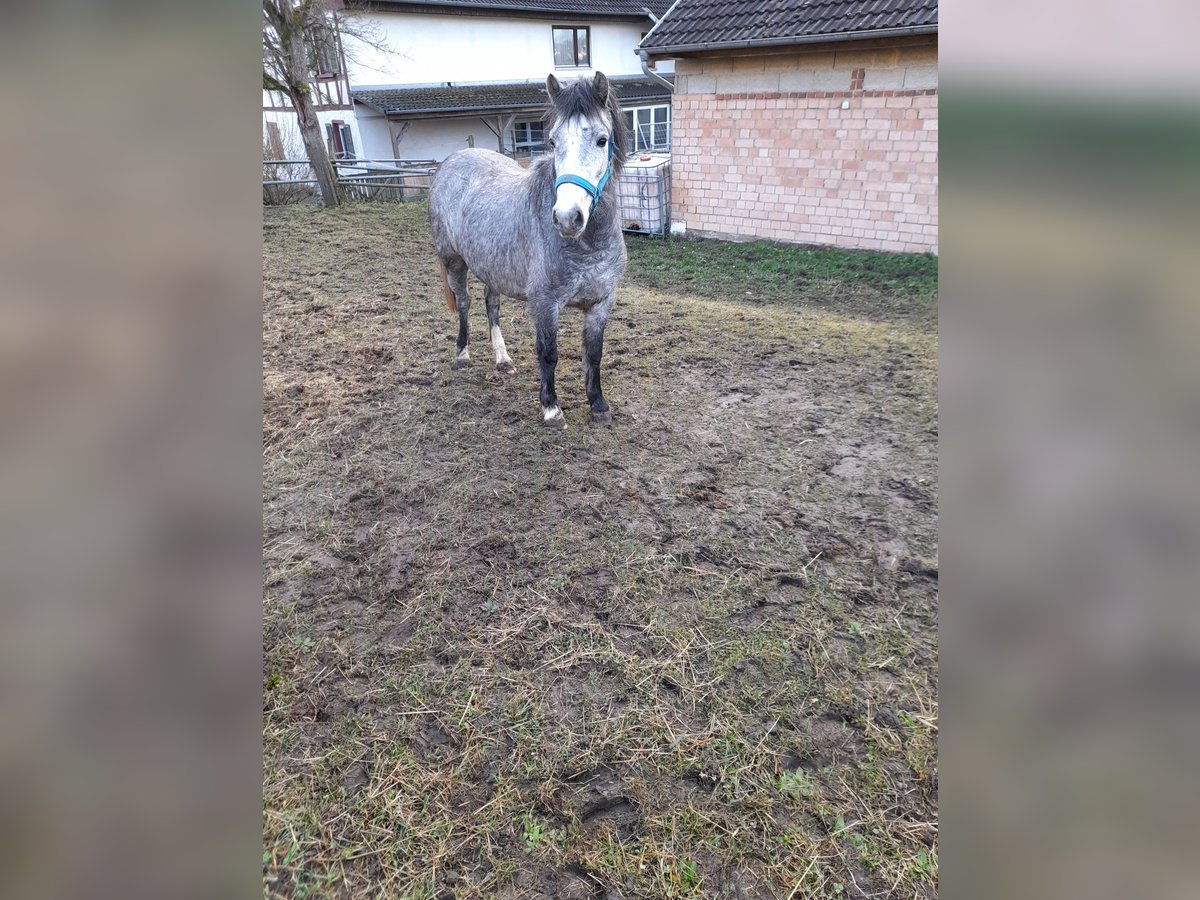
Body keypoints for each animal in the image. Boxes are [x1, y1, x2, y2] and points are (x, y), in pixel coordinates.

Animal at [428, 71, 629, 429]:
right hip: (454, 262)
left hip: (492, 266)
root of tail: (452, 162)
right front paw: (551, 408)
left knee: (491, 305)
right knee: (464, 304)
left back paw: (503, 360)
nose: (566, 217)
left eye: (602, 140)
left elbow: (594, 353)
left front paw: (598, 406)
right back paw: (462, 355)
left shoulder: (601, 301)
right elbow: (548, 353)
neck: (587, 244)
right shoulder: (545, 303)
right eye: (552, 141)